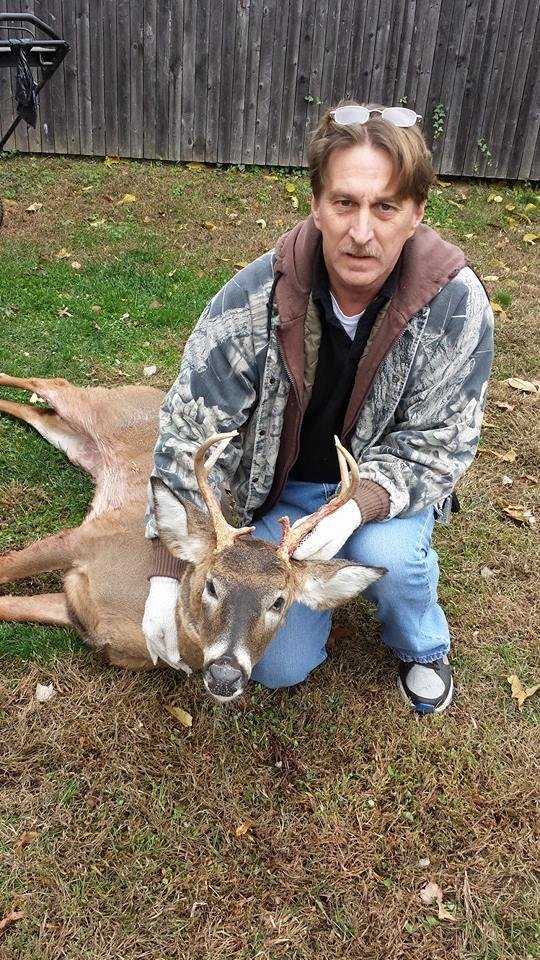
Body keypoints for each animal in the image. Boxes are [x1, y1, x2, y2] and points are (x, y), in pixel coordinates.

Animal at [0, 373, 385, 702]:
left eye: (279, 602)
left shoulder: (76, 607)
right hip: (98, 407)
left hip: (76, 443)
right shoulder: (89, 538)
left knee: (40, 411)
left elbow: (9, 606)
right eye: (211, 585)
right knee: (51, 384)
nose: (226, 675)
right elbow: (7, 567)